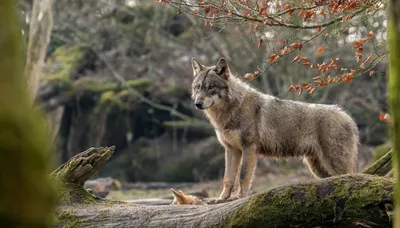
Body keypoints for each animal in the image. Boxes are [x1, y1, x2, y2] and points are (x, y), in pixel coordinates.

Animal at [190, 57, 360, 201]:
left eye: (211, 87)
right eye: (198, 87)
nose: (197, 104)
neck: (231, 109)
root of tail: (348, 117)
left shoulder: (249, 147)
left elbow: (243, 175)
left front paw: (239, 197)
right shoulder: (232, 149)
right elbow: (228, 178)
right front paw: (221, 199)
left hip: (332, 164)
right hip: (317, 168)